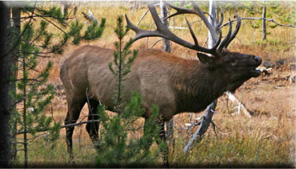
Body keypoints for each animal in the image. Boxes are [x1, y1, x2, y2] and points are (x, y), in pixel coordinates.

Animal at [60, 2, 262, 166]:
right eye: (231, 61)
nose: (257, 58)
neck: (180, 92)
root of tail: (63, 62)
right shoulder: (155, 113)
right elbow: (163, 149)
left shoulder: (153, 115)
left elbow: (146, 146)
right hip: (75, 93)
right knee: (69, 124)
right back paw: (71, 160)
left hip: (95, 100)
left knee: (91, 128)